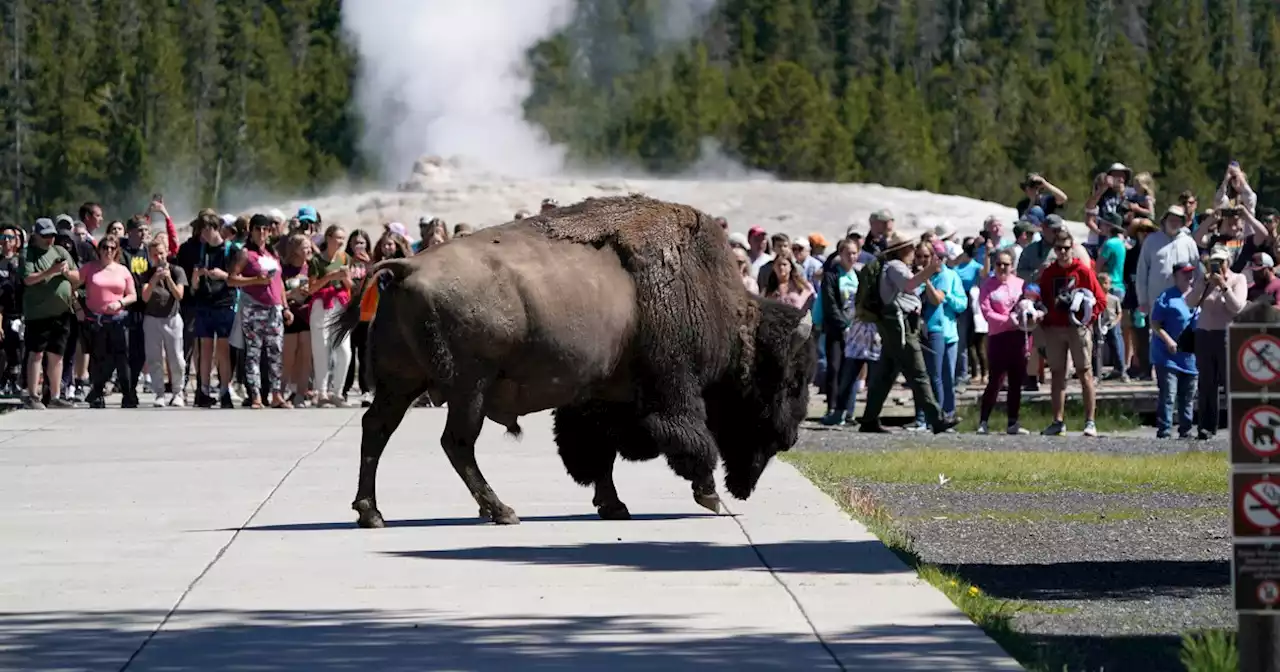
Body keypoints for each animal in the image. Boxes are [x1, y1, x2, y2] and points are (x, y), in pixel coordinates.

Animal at [327, 192, 808, 524]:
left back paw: (371, 513)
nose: (790, 438)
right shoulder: (672, 388)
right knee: (455, 443)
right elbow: (691, 438)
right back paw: (501, 511)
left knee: (378, 430)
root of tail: (406, 267)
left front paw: (613, 505)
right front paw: (710, 497)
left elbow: (596, 453)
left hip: (401, 384)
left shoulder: (598, 399)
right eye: (789, 381)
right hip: (468, 389)